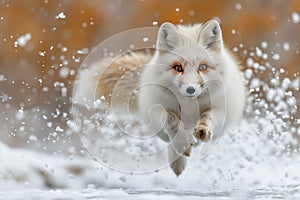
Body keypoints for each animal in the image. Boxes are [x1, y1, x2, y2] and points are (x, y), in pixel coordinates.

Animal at [74, 20, 245, 176]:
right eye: (178, 68)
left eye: (202, 67)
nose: (190, 90)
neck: (189, 108)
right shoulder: (158, 109)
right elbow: (173, 122)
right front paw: (182, 144)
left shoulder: (220, 109)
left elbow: (207, 118)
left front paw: (202, 130)